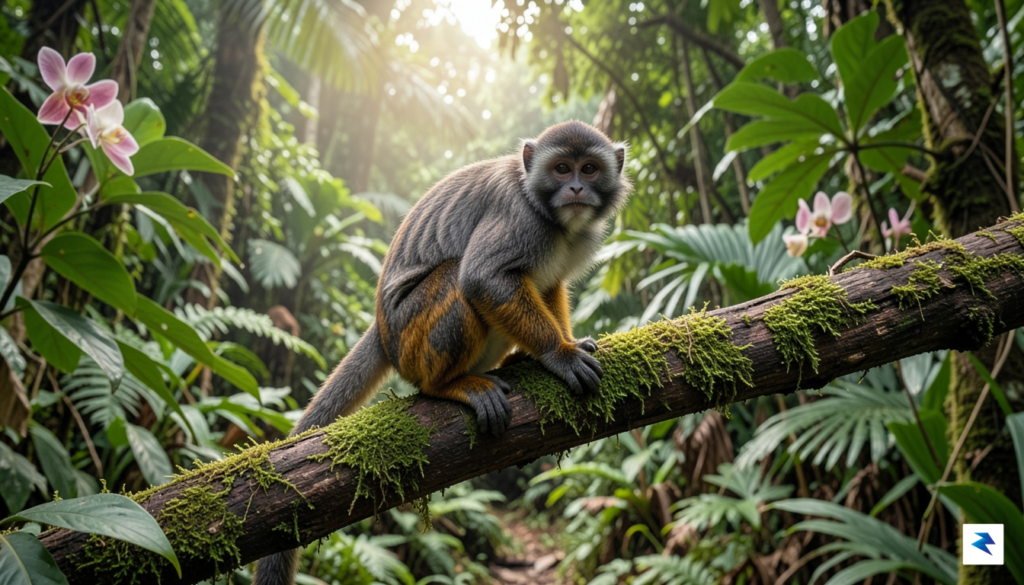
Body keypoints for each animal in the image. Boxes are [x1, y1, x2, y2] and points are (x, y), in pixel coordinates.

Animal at [253, 120, 630, 585]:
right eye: (562, 169)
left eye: (589, 169)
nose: (576, 187)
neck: (551, 216)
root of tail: (383, 330)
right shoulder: (521, 220)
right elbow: (483, 278)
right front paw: (559, 354)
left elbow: (547, 283)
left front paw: (563, 345)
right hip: (411, 340)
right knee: (456, 277)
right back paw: (448, 385)